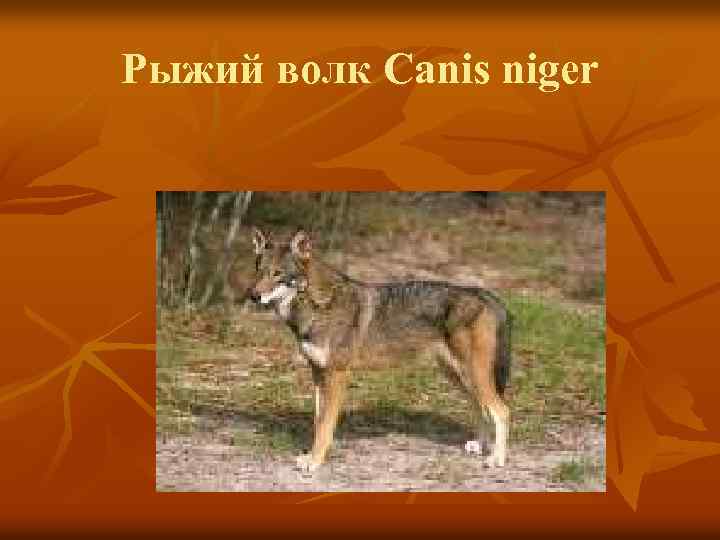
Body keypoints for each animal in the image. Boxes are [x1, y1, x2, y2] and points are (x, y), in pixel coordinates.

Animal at [248, 228, 512, 472]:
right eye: (259, 270)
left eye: (278, 274)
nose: (253, 296)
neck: (319, 305)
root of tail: (484, 293)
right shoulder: (318, 374)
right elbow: (317, 421)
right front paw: (310, 456)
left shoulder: (337, 375)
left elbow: (324, 426)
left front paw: (315, 462)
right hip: (458, 375)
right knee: (481, 406)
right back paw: (479, 446)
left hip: (472, 374)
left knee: (501, 410)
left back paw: (496, 459)